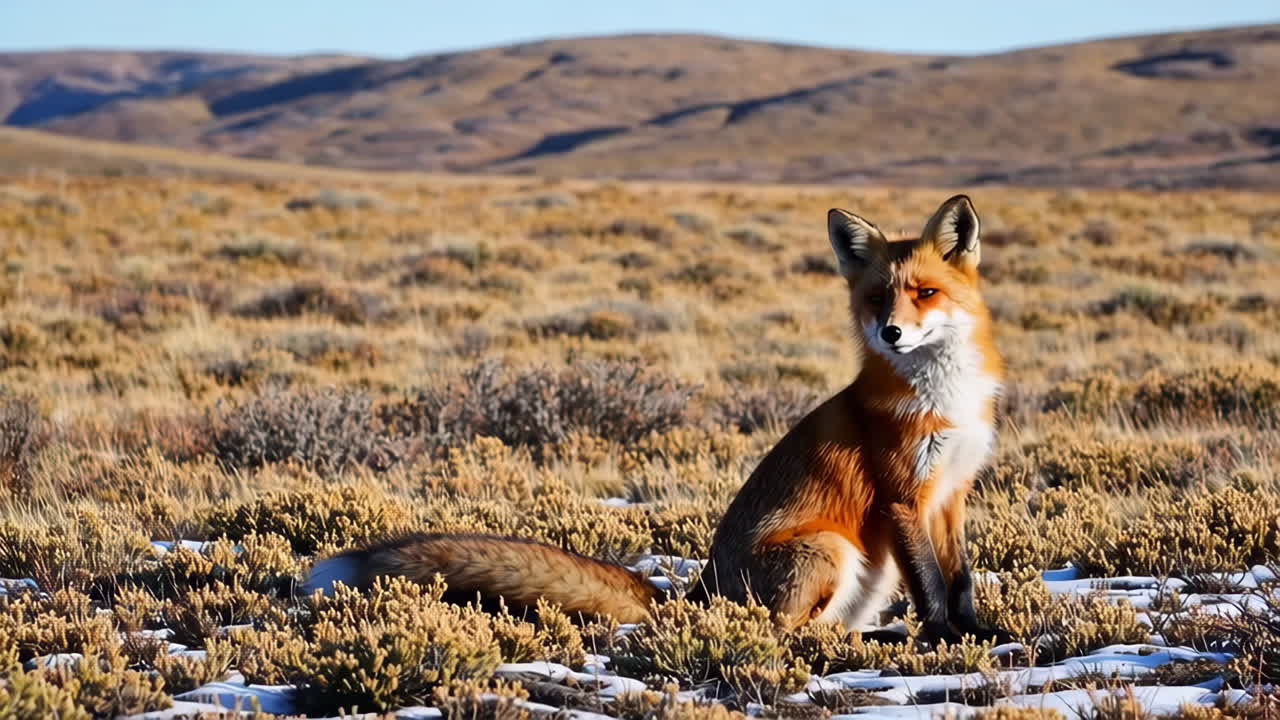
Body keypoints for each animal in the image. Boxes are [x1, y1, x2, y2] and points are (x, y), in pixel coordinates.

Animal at [304, 195, 1006, 644]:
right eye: (877, 298)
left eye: (925, 293)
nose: (891, 333)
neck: (944, 398)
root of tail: (702, 593)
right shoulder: (903, 497)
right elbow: (931, 584)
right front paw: (943, 638)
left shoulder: (951, 493)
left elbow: (960, 577)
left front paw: (974, 632)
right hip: (832, 549)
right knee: (787, 634)